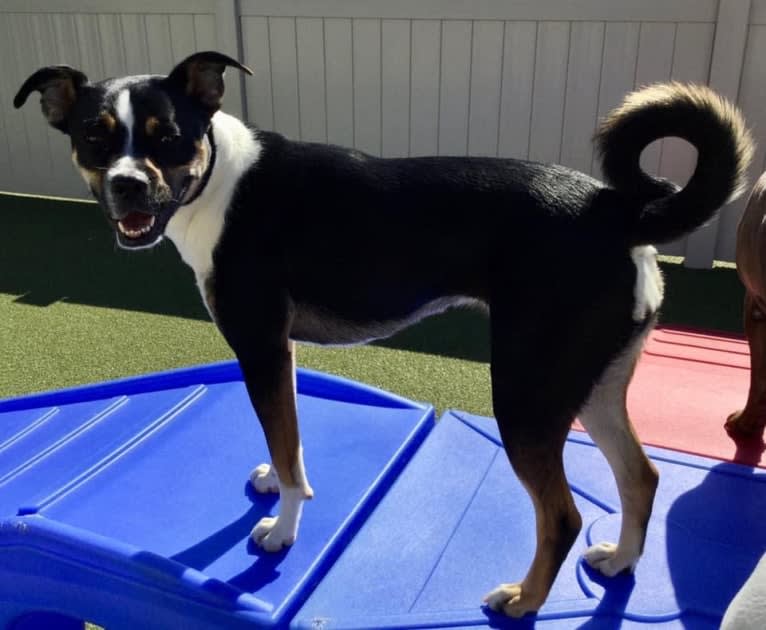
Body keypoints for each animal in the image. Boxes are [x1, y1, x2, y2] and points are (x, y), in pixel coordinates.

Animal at [16, 53, 756, 616]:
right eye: (95, 138)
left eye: (167, 136)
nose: (127, 186)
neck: (217, 181)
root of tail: (616, 210)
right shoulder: (278, 354)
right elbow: (286, 437)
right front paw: (275, 484)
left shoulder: (259, 345)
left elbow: (287, 450)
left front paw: (284, 531)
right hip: (592, 385)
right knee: (641, 476)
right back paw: (622, 561)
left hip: (526, 395)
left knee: (564, 517)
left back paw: (524, 601)